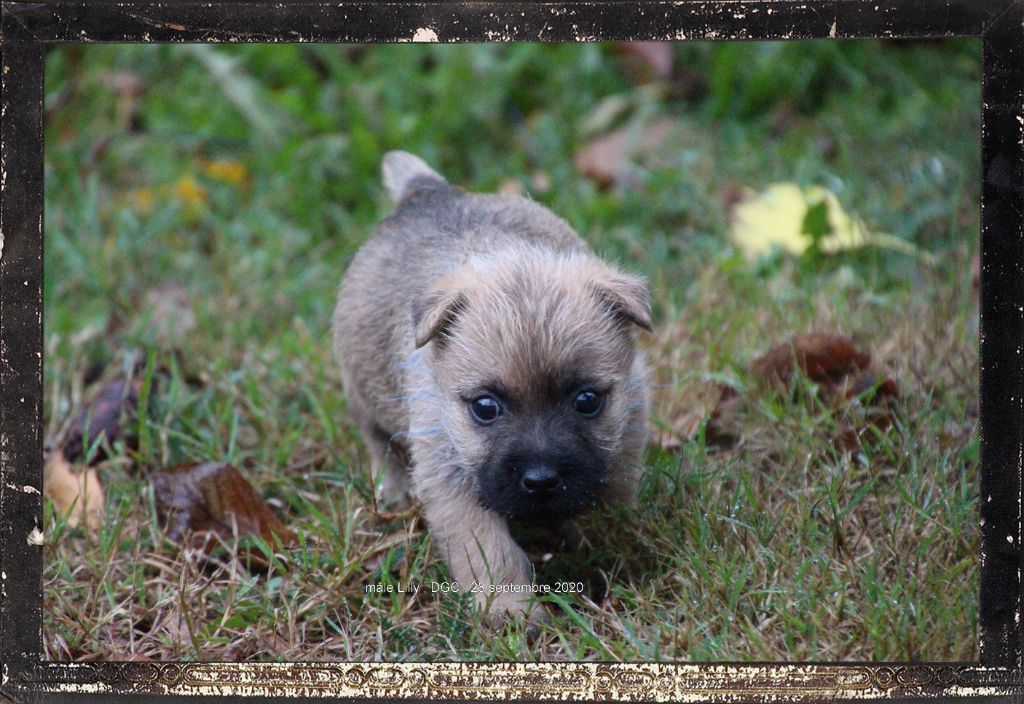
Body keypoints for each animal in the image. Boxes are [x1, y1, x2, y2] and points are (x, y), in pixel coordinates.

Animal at [335, 151, 655, 618]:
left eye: (586, 400)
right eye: (486, 408)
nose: (540, 480)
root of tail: (426, 191)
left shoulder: (623, 443)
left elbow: (608, 504)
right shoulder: (449, 478)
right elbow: (488, 550)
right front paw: (510, 610)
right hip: (364, 399)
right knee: (380, 445)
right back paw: (393, 494)